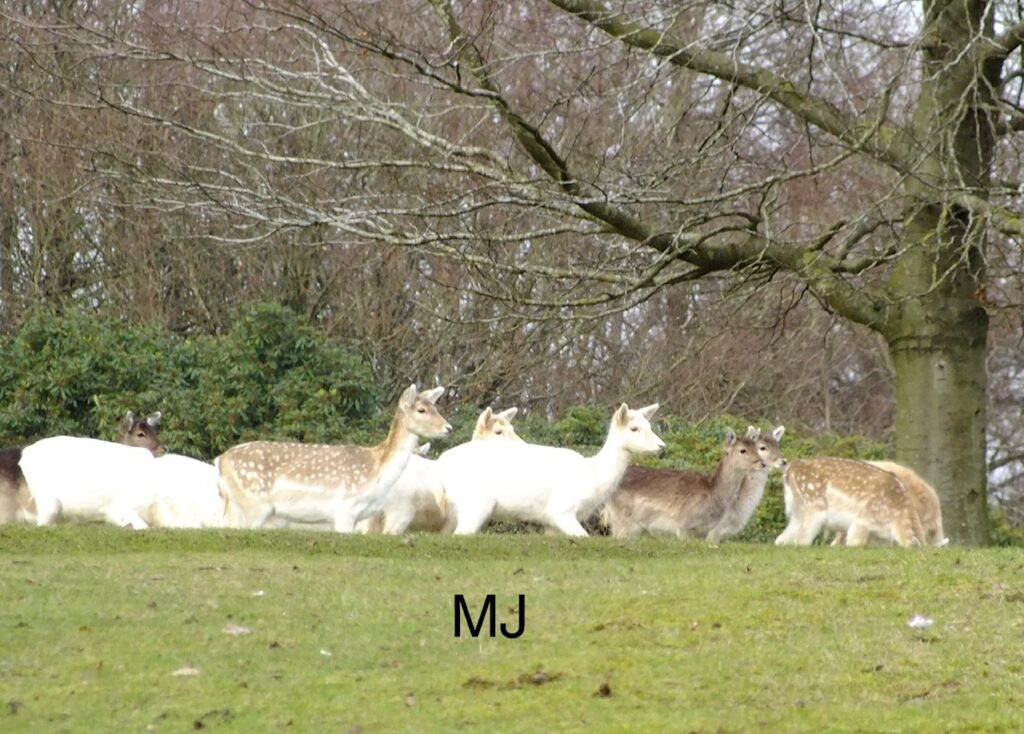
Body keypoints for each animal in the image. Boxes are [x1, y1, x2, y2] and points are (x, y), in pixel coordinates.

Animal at [216, 384, 452, 532]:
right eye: (421, 410)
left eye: (435, 407)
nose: (448, 428)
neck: (376, 471)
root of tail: (220, 461)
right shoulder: (344, 508)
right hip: (254, 503)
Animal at [437, 403, 664, 536]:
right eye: (634, 428)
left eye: (650, 426)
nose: (662, 446)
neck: (592, 477)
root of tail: (440, 467)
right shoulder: (560, 510)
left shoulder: (550, 523)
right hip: (475, 504)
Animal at [600, 428, 769, 541]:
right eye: (742, 450)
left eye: (757, 448)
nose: (762, 463)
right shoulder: (683, 526)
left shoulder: (705, 532)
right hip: (623, 522)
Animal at [775, 457, 927, 547]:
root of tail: (789, 471)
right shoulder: (862, 520)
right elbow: (854, 543)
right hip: (814, 507)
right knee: (801, 540)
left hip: (797, 510)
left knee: (781, 538)